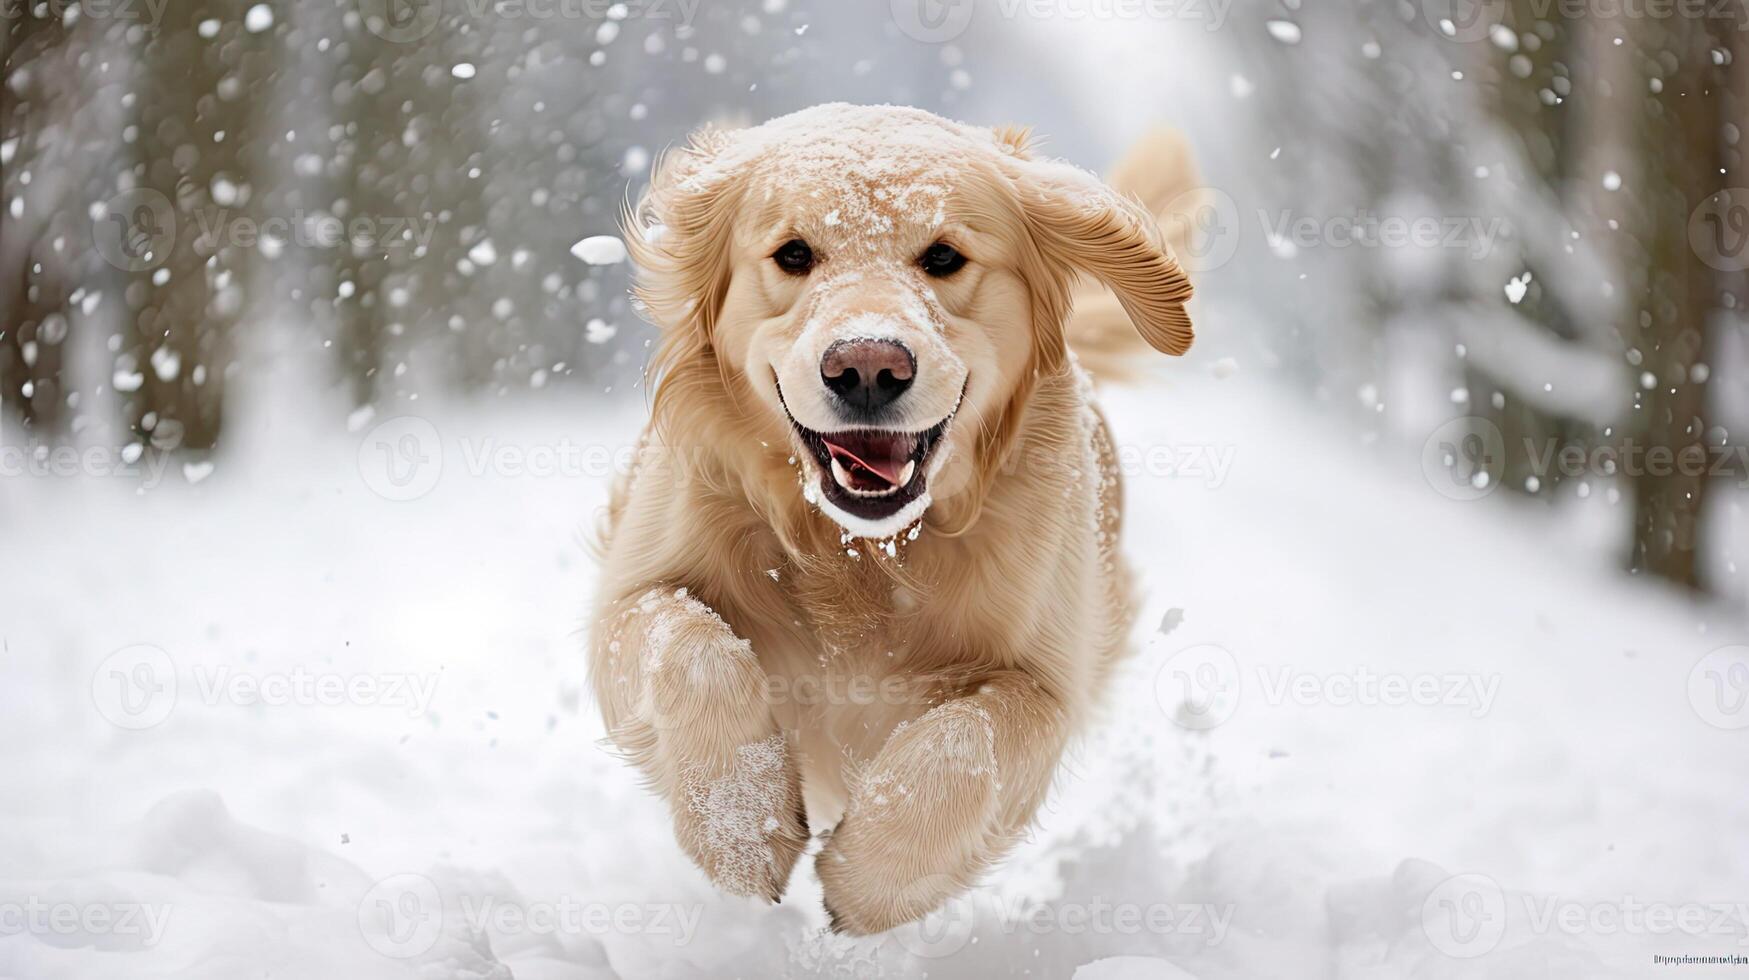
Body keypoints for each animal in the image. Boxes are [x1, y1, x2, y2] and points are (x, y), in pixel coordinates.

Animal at [594, 101, 1196, 931]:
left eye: (943, 257)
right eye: (792, 254)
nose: (867, 368)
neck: (860, 549)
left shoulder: (1047, 676)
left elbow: (964, 746)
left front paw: (868, 879)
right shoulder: (628, 595)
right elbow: (693, 647)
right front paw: (742, 833)